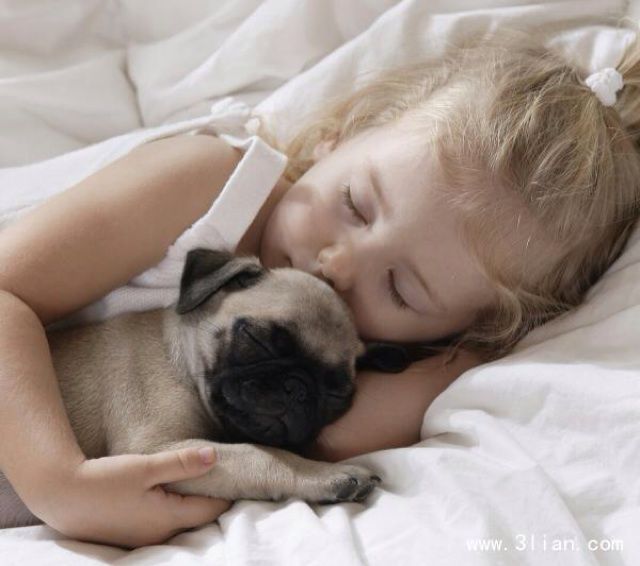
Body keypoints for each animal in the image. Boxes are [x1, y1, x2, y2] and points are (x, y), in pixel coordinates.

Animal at [0, 248, 416, 528]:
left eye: (336, 396)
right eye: (257, 339)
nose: (297, 388)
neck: (181, 362)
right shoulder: (152, 451)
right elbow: (260, 455)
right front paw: (324, 474)